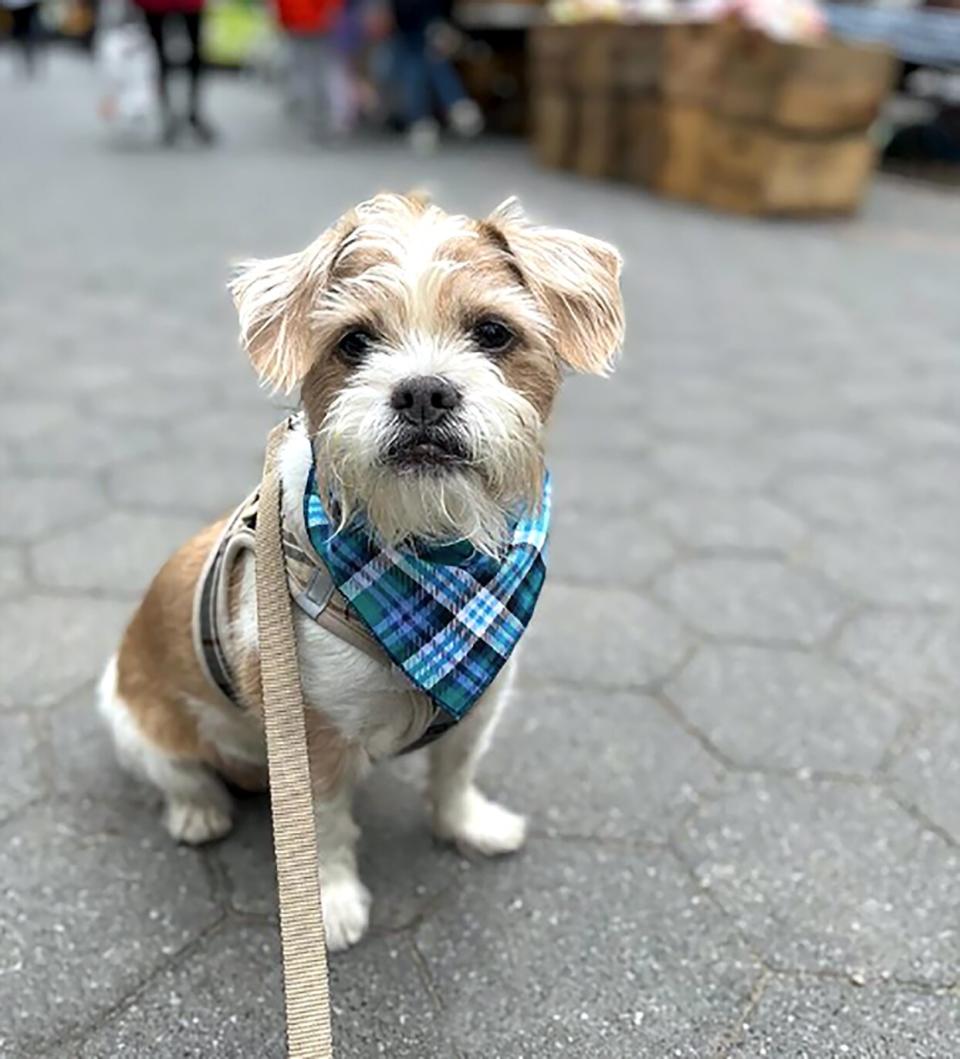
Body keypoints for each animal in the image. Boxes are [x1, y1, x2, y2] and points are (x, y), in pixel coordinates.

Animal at [97, 190, 622, 953]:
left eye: (493, 333)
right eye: (354, 342)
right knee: (181, 775)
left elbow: (456, 772)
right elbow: (323, 831)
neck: (430, 559)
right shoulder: (309, 737)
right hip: (132, 720)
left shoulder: (484, 699)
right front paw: (333, 905)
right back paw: (198, 810)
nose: (424, 392)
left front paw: (468, 825)